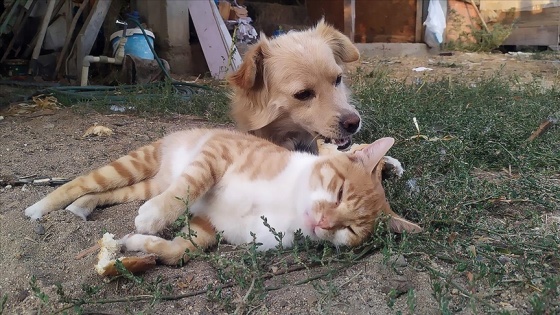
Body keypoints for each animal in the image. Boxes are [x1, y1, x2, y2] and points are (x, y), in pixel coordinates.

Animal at [25, 130, 420, 266]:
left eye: (350, 230)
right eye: (338, 192)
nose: (323, 222)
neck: (289, 203)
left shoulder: (208, 226)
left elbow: (182, 249)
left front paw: (139, 243)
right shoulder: (218, 152)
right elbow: (190, 185)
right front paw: (154, 217)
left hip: (142, 184)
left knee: (108, 193)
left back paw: (84, 206)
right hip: (135, 163)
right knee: (82, 182)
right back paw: (41, 207)